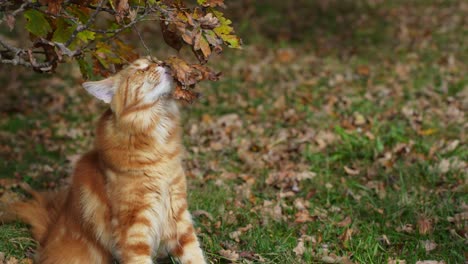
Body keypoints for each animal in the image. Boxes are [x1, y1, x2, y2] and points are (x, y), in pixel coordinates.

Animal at [9, 58, 206, 264]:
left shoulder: (178, 213)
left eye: (153, 61)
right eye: (140, 70)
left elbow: (194, 254)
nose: (162, 63)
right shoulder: (133, 227)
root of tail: (48, 236)